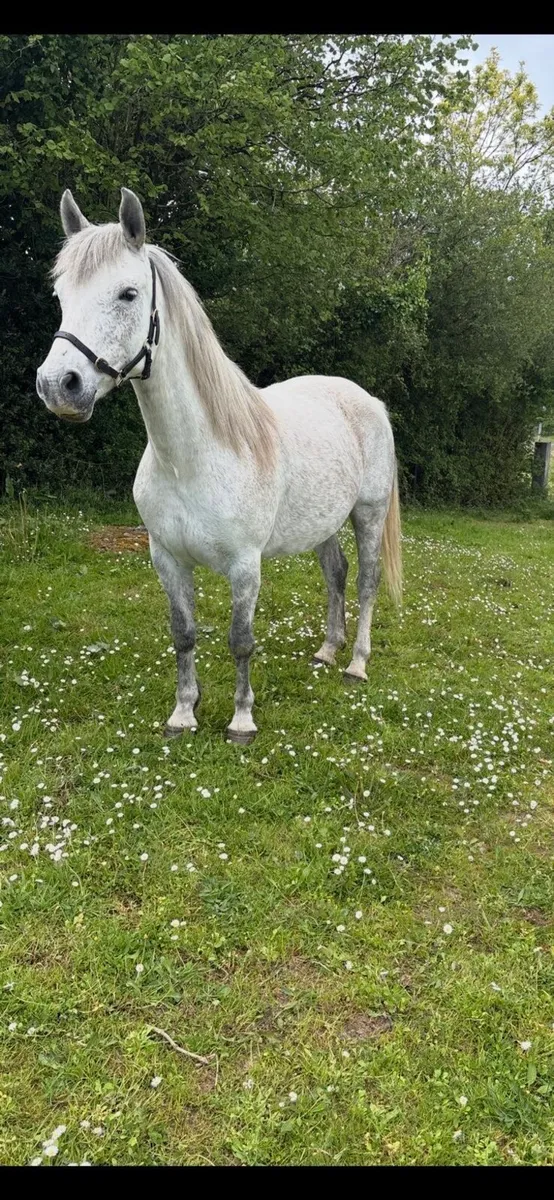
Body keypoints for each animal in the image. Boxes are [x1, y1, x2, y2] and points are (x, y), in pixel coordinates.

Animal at [36, 188, 402, 744]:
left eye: (127, 294)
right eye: (61, 295)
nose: (59, 386)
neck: (192, 461)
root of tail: (368, 401)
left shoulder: (244, 567)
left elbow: (240, 640)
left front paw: (242, 721)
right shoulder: (167, 559)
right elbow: (184, 634)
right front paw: (183, 713)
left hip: (368, 514)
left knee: (365, 581)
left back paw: (356, 664)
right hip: (323, 523)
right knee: (335, 574)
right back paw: (326, 650)